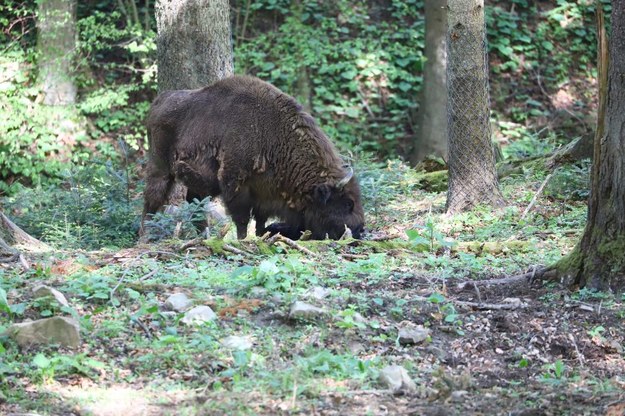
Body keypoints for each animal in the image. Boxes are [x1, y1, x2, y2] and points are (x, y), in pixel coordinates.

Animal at [141, 75, 366, 240]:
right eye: (347, 203)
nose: (360, 231)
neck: (273, 132)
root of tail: (158, 102)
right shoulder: (235, 183)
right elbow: (242, 219)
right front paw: (243, 240)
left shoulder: (264, 193)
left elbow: (260, 221)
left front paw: (259, 237)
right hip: (161, 168)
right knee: (152, 199)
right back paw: (145, 235)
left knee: (194, 202)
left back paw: (203, 235)